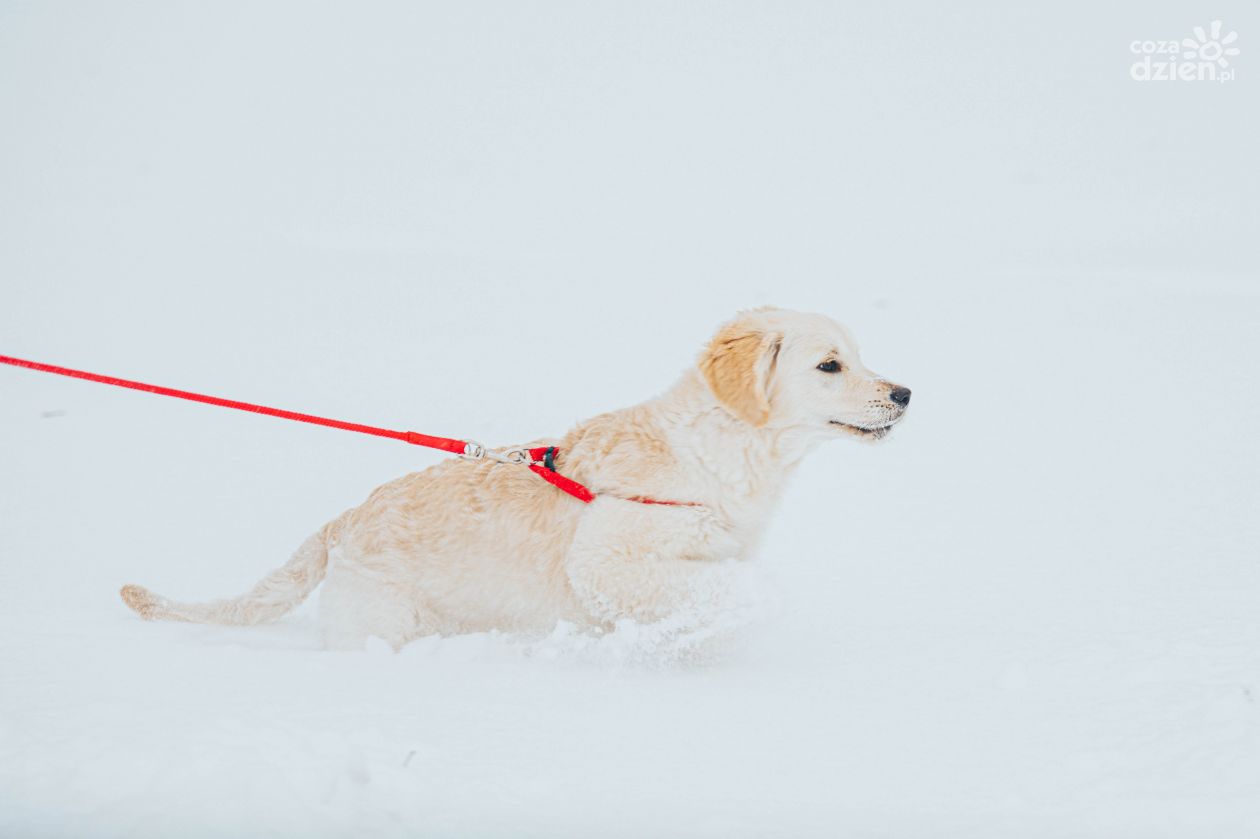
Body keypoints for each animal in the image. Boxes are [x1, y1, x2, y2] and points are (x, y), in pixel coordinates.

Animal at [120, 307, 907, 644]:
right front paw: (758, 600)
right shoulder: (606, 557)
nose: (905, 393)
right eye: (829, 364)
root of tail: (342, 521)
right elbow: (714, 583)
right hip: (380, 623)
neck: (721, 449)